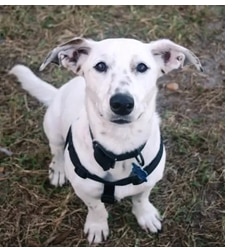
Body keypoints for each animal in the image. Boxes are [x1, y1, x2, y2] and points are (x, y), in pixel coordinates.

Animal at [9, 37, 202, 244]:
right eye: (100, 66)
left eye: (142, 67)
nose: (122, 103)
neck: (120, 144)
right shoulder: (85, 190)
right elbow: (97, 208)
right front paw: (97, 226)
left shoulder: (149, 182)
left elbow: (141, 198)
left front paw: (146, 215)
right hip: (53, 128)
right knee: (57, 151)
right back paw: (59, 170)